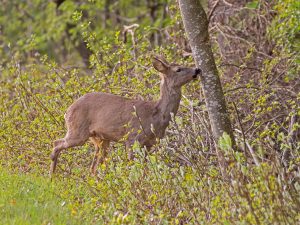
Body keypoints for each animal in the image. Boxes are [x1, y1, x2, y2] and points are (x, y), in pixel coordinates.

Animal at [50, 56, 202, 176]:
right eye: (178, 69)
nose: (197, 70)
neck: (155, 115)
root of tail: (67, 111)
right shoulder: (133, 138)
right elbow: (133, 166)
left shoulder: (149, 143)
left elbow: (144, 168)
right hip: (78, 130)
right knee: (56, 143)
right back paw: (51, 178)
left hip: (100, 139)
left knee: (93, 167)